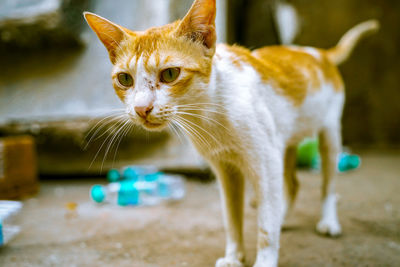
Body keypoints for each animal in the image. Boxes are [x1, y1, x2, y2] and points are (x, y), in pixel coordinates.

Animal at [83, 1, 378, 266]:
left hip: (329, 134)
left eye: (170, 74)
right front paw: (234, 257)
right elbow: (232, 218)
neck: (210, 111)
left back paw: (327, 221)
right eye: (125, 79)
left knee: (327, 185)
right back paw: (282, 217)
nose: (141, 108)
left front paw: (264, 259)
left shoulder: (265, 162)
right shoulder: (227, 170)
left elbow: (265, 228)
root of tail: (318, 53)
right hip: (283, 142)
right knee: (292, 184)